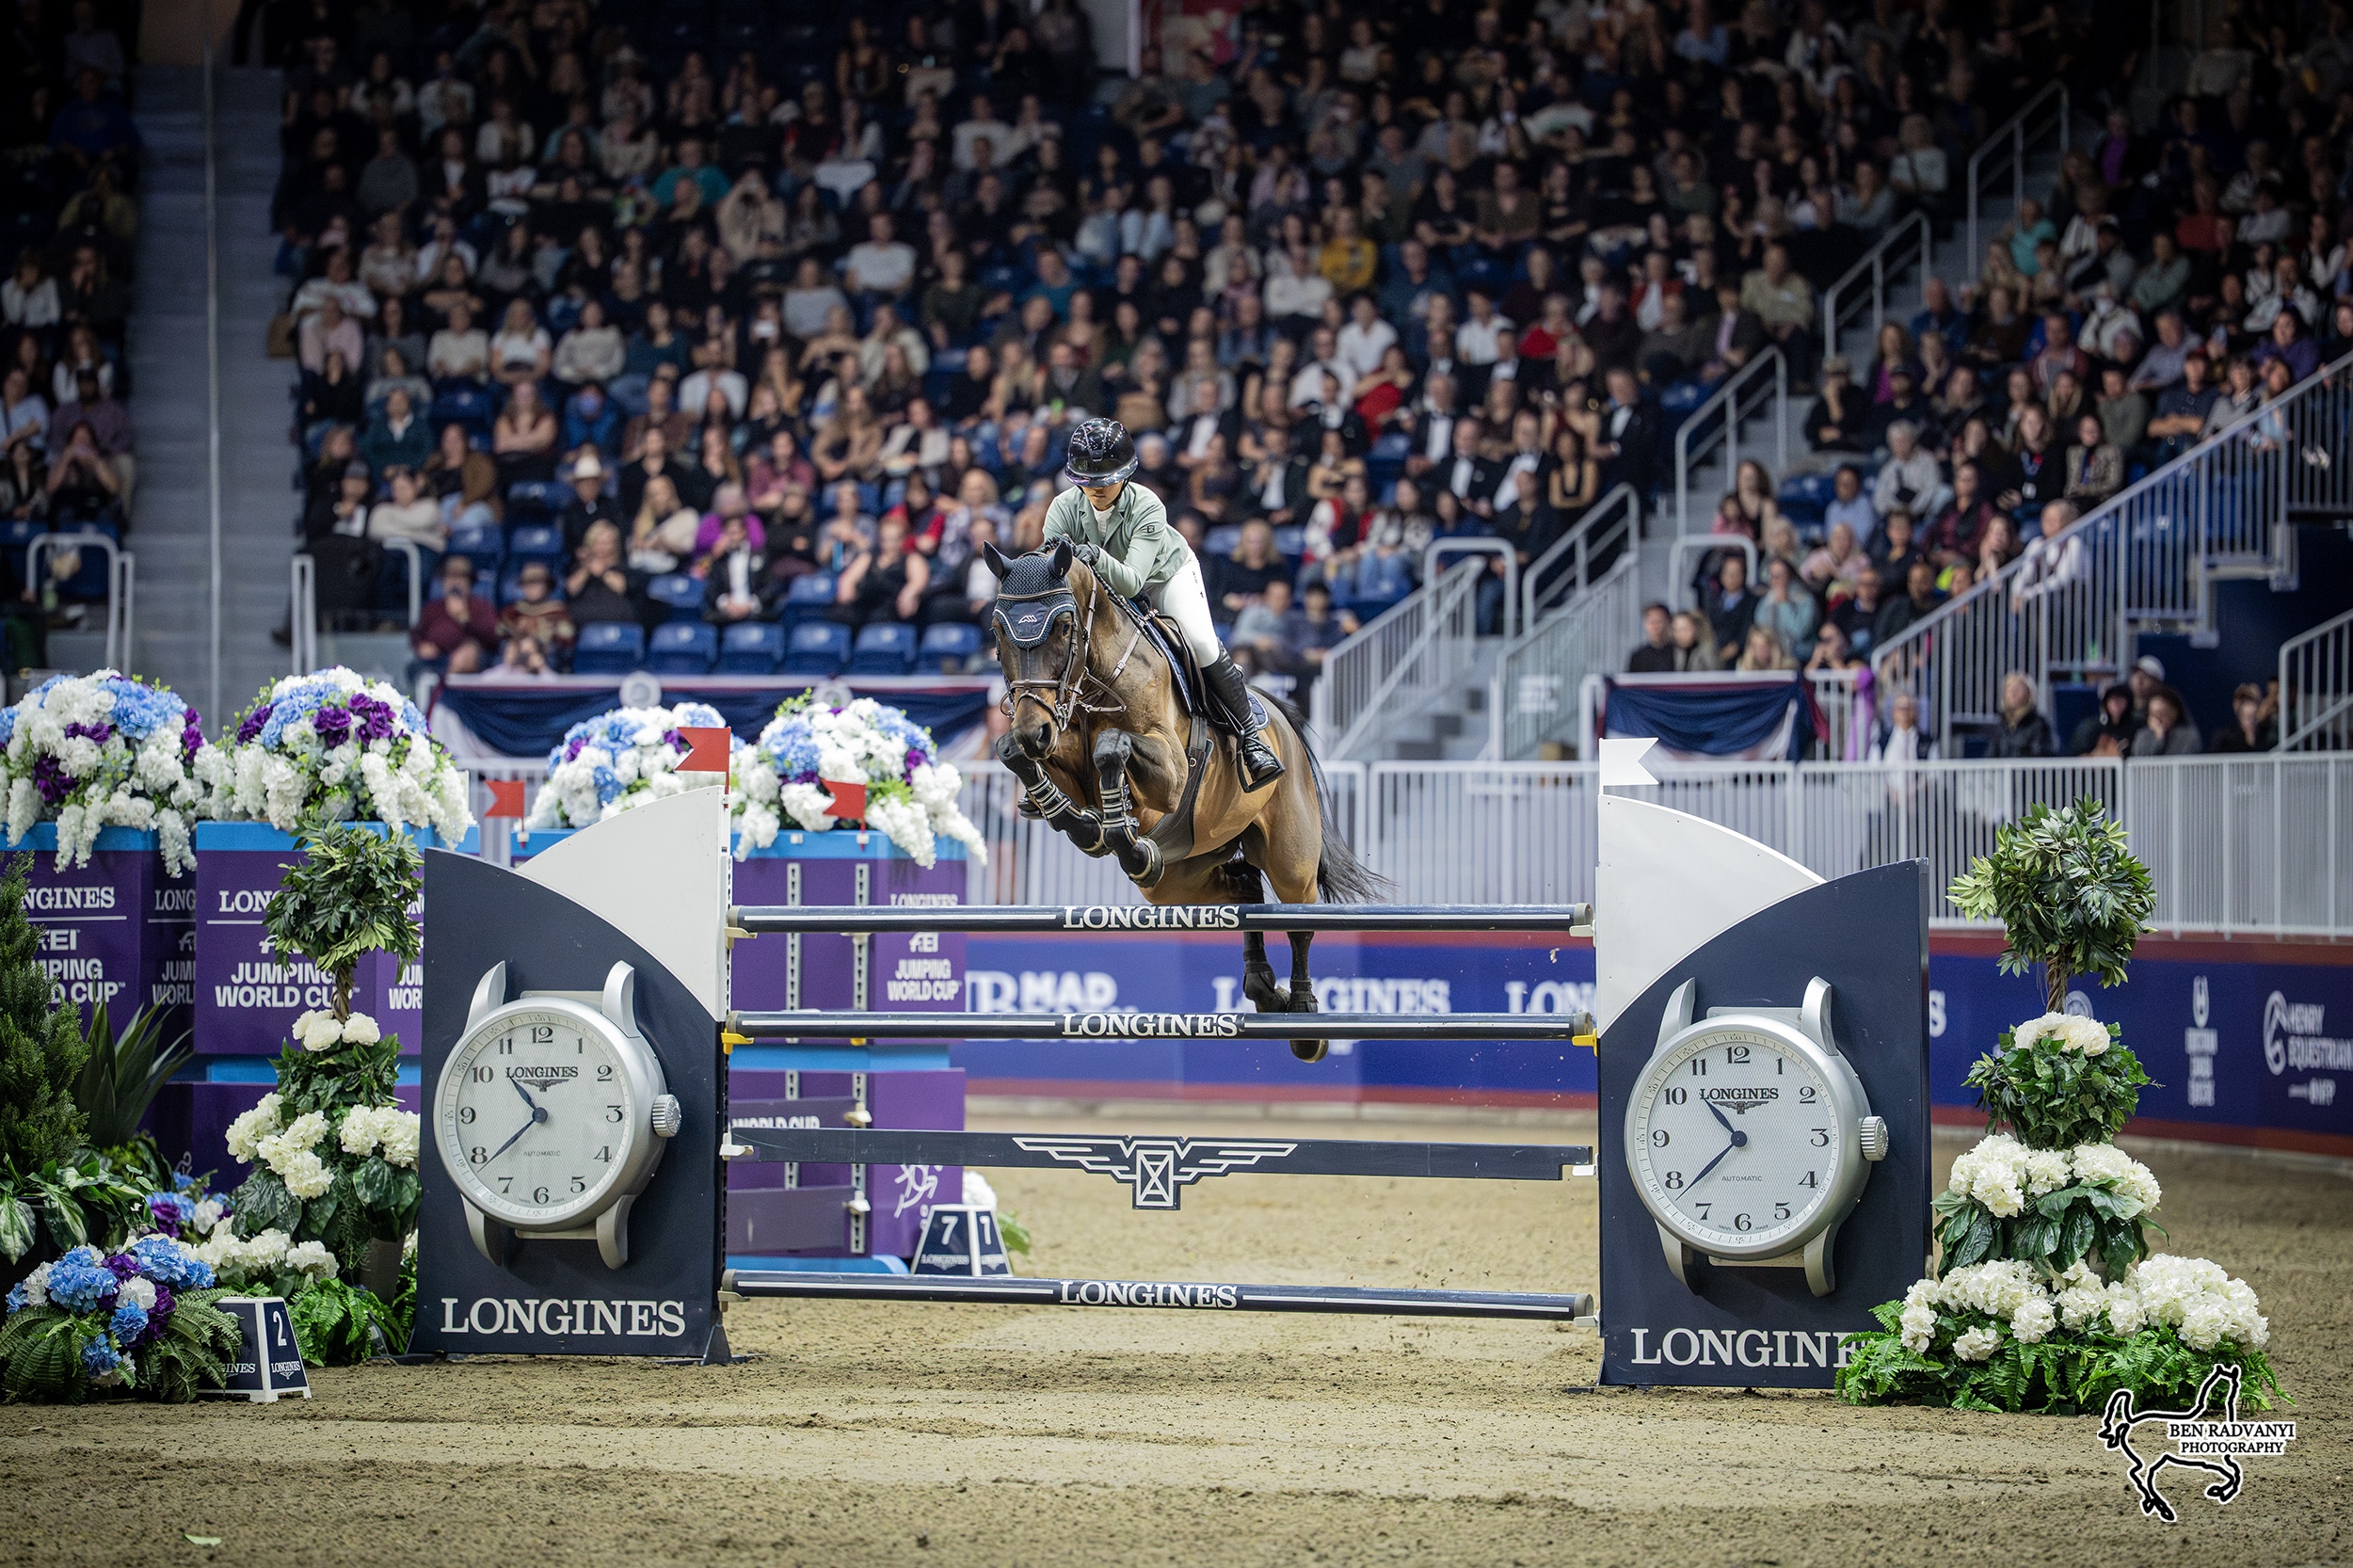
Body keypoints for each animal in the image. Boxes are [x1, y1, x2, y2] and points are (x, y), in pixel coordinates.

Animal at [982, 540, 1386, 1060]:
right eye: (998, 630)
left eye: (1065, 625)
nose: (1035, 731)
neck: (1094, 678)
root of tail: (1278, 713)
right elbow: (1013, 753)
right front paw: (1087, 825)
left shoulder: (1170, 775)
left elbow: (1111, 745)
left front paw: (1113, 826)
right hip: (1180, 875)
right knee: (1241, 889)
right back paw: (1262, 989)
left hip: (1289, 855)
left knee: (1298, 919)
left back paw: (1303, 1020)